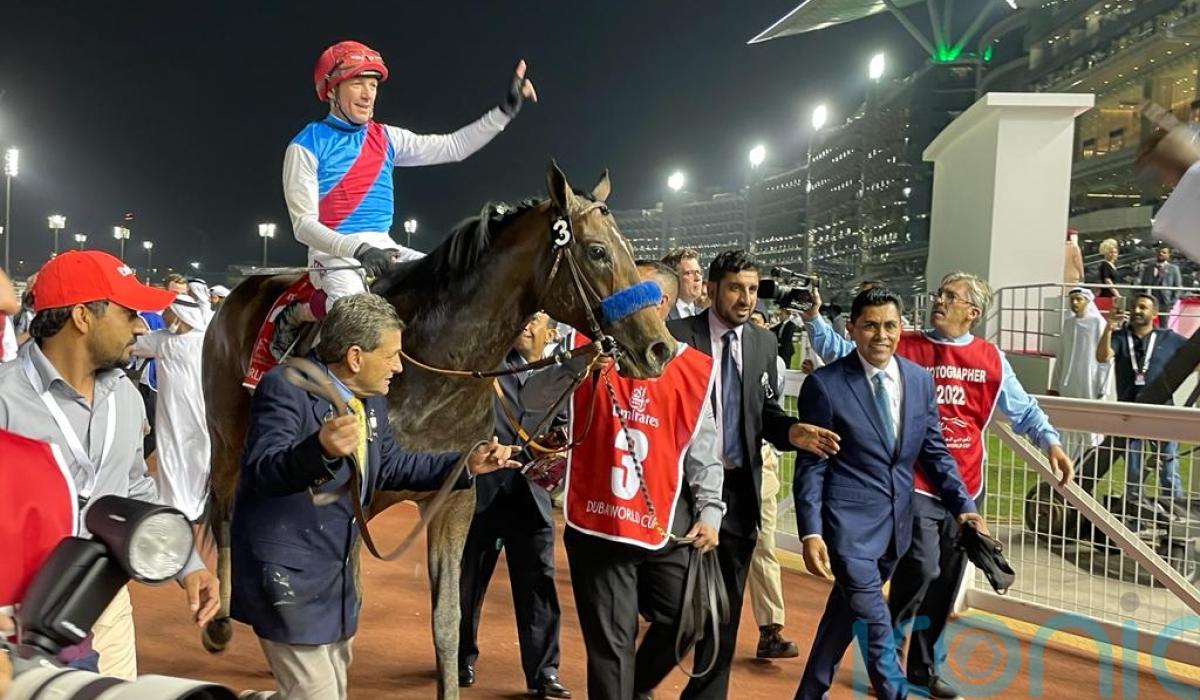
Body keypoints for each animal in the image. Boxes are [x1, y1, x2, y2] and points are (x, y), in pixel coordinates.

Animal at [201, 161, 677, 698]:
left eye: (629, 248)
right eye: (597, 251)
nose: (660, 347)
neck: (434, 361)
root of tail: (239, 293)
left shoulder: (453, 499)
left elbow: (446, 621)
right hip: (226, 435)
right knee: (225, 509)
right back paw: (222, 621)